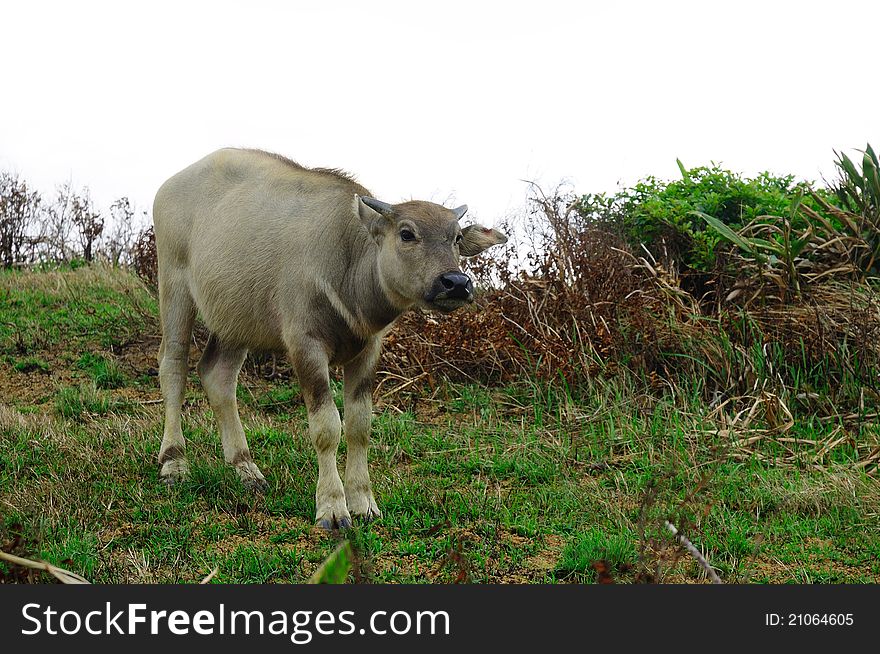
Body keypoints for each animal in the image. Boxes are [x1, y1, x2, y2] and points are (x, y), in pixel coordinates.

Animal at [152, 149, 508, 528]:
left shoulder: (368, 350)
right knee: (173, 367)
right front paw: (333, 507)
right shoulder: (305, 345)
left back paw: (246, 468)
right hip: (174, 287)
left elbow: (359, 425)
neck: (347, 265)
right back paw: (173, 461)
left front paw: (364, 502)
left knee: (217, 375)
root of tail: (168, 187)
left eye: (455, 237)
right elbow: (326, 427)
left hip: (235, 319)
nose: (456, 283)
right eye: (407, 234)